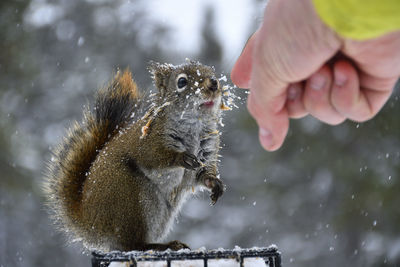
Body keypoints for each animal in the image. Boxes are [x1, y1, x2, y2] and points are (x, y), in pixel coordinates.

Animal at [43, 60, 228, 253]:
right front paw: (180, 158)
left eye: (212, 73)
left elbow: (203, 174)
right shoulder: (148, 141)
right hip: (130, 197)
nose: (214, 84)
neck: (195, 125)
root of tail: (91, 224)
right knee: (132, 244)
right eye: (182, 82)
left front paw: (215, 184)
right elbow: (154, 155)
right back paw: (163, 245)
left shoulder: (206, 153)